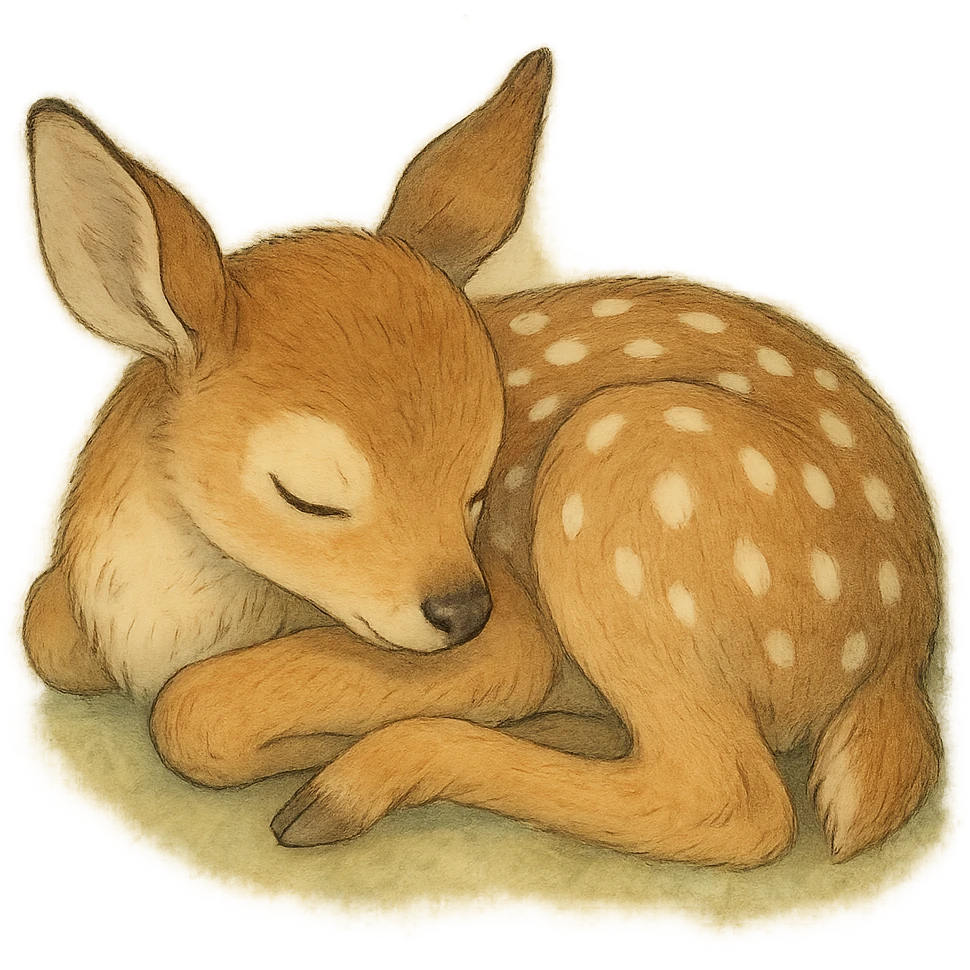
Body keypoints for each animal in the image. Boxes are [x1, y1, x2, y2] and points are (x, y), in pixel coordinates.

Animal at [22, 47, 941, 870]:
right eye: (309, 494)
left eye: (477, 489)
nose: (463, 612)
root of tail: (901, 652)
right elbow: (43, 627)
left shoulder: (512, 633)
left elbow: (191, 712)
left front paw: (302, 751)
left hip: (631, 489)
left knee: (732, 807)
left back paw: (349, 788)